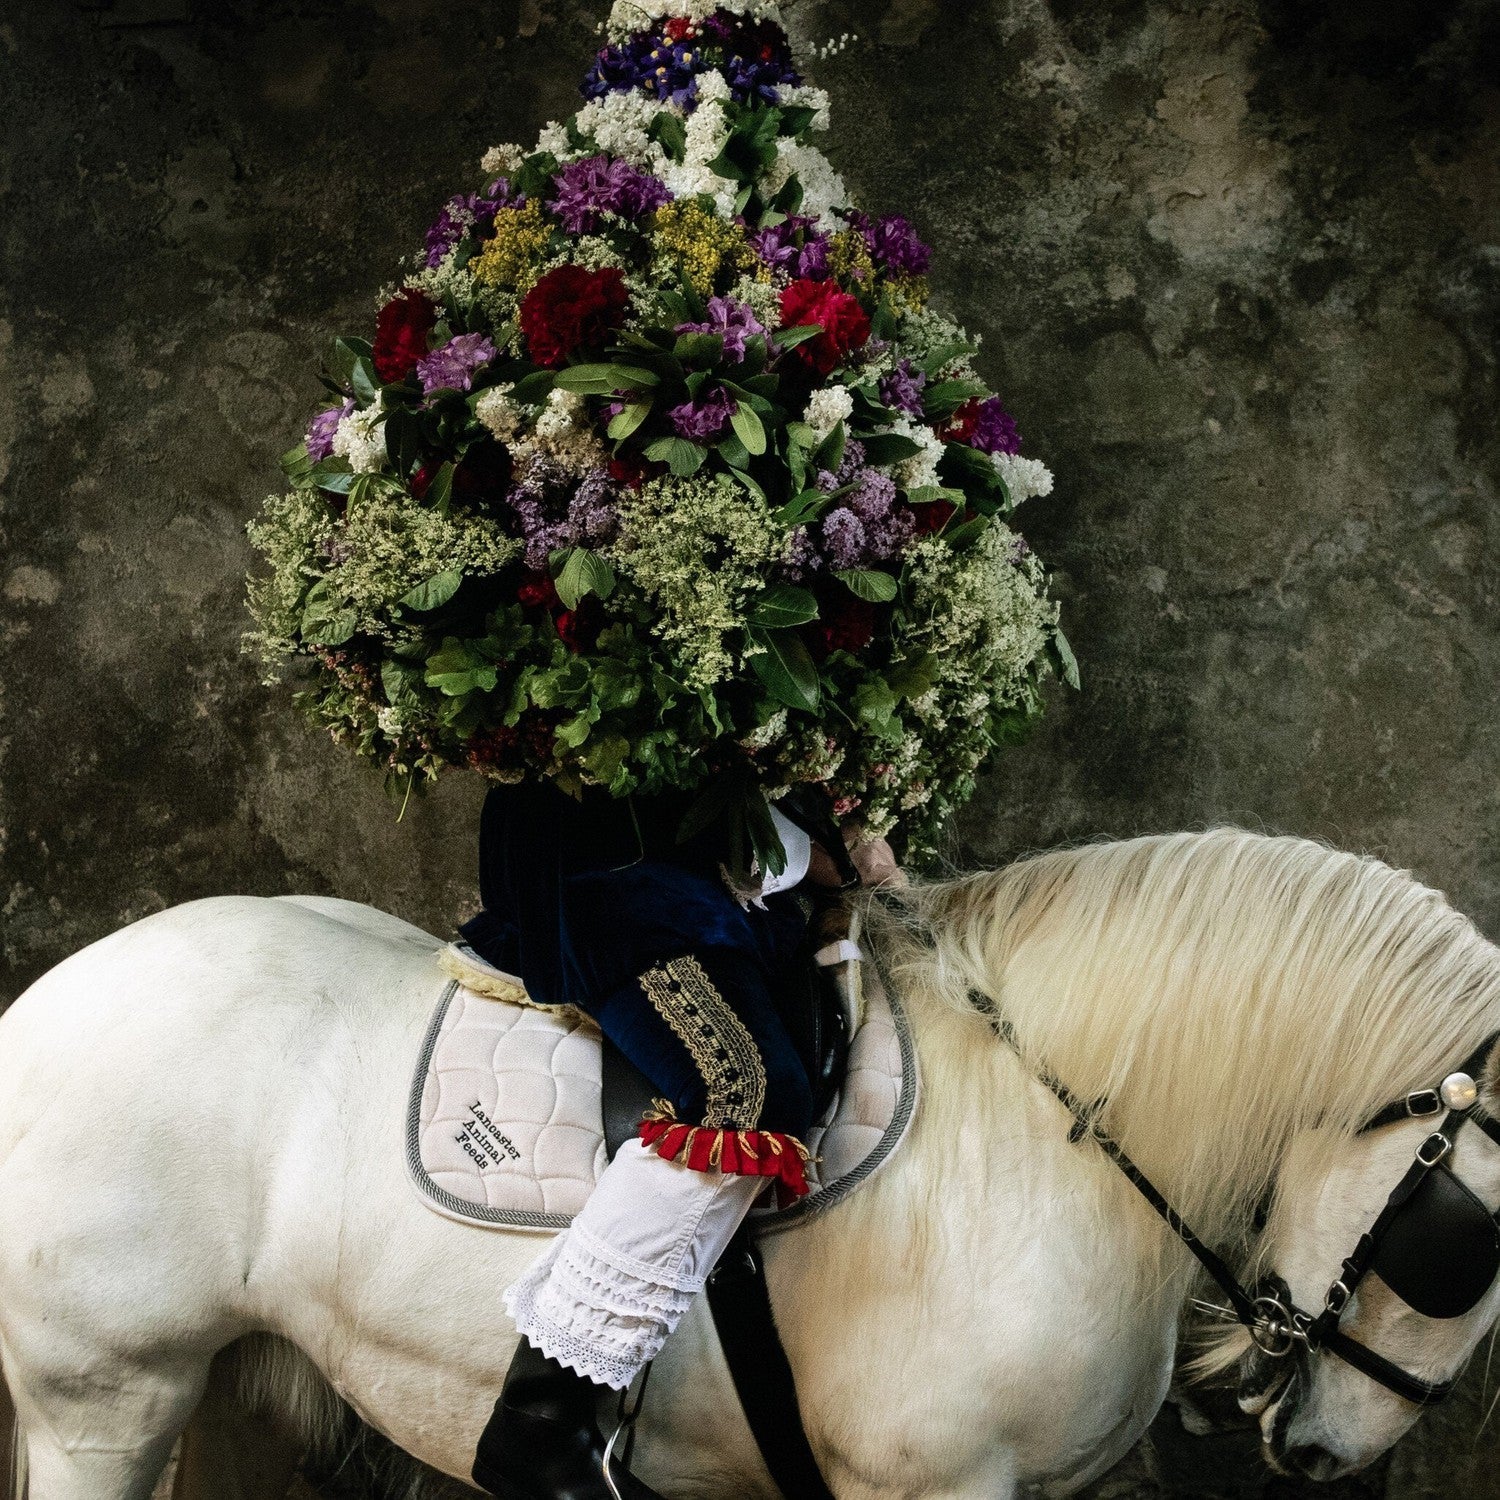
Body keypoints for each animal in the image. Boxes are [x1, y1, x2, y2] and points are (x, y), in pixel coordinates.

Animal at [2, 828, 1500, 1494]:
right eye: (1470, 1253)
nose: (1326, 1451)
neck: (1041, 1134)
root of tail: (45, 1005)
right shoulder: (931, 1489)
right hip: (110, 1400)